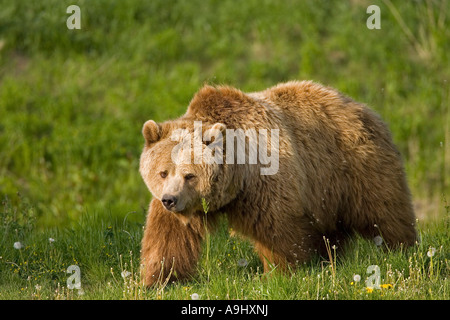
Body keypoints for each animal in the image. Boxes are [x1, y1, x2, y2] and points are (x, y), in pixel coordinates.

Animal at [139, 81, 416, 286]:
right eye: (163, 172)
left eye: (190, 175)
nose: (170, 200)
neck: (238, 179)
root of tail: (360, 106)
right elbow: (168, 237)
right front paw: (159, 279)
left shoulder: (267, 179)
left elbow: (279, 232)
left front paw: (282, 273)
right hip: (327, 191)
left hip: (356, 166)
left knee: (384, 211)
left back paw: (402, 249)